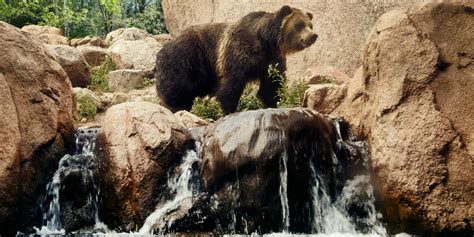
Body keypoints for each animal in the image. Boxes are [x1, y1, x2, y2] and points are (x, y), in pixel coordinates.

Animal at [156, 4, 318, 114]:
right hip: (187, 58)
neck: (266, 42)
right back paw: (175, 106)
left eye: (310, 25)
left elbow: (272, 84)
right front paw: (227, 109)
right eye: (299, 25)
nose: (313, 35)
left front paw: (273, 102)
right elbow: (231, 82)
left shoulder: (272, 59)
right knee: (178, 86)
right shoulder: (238, 51)